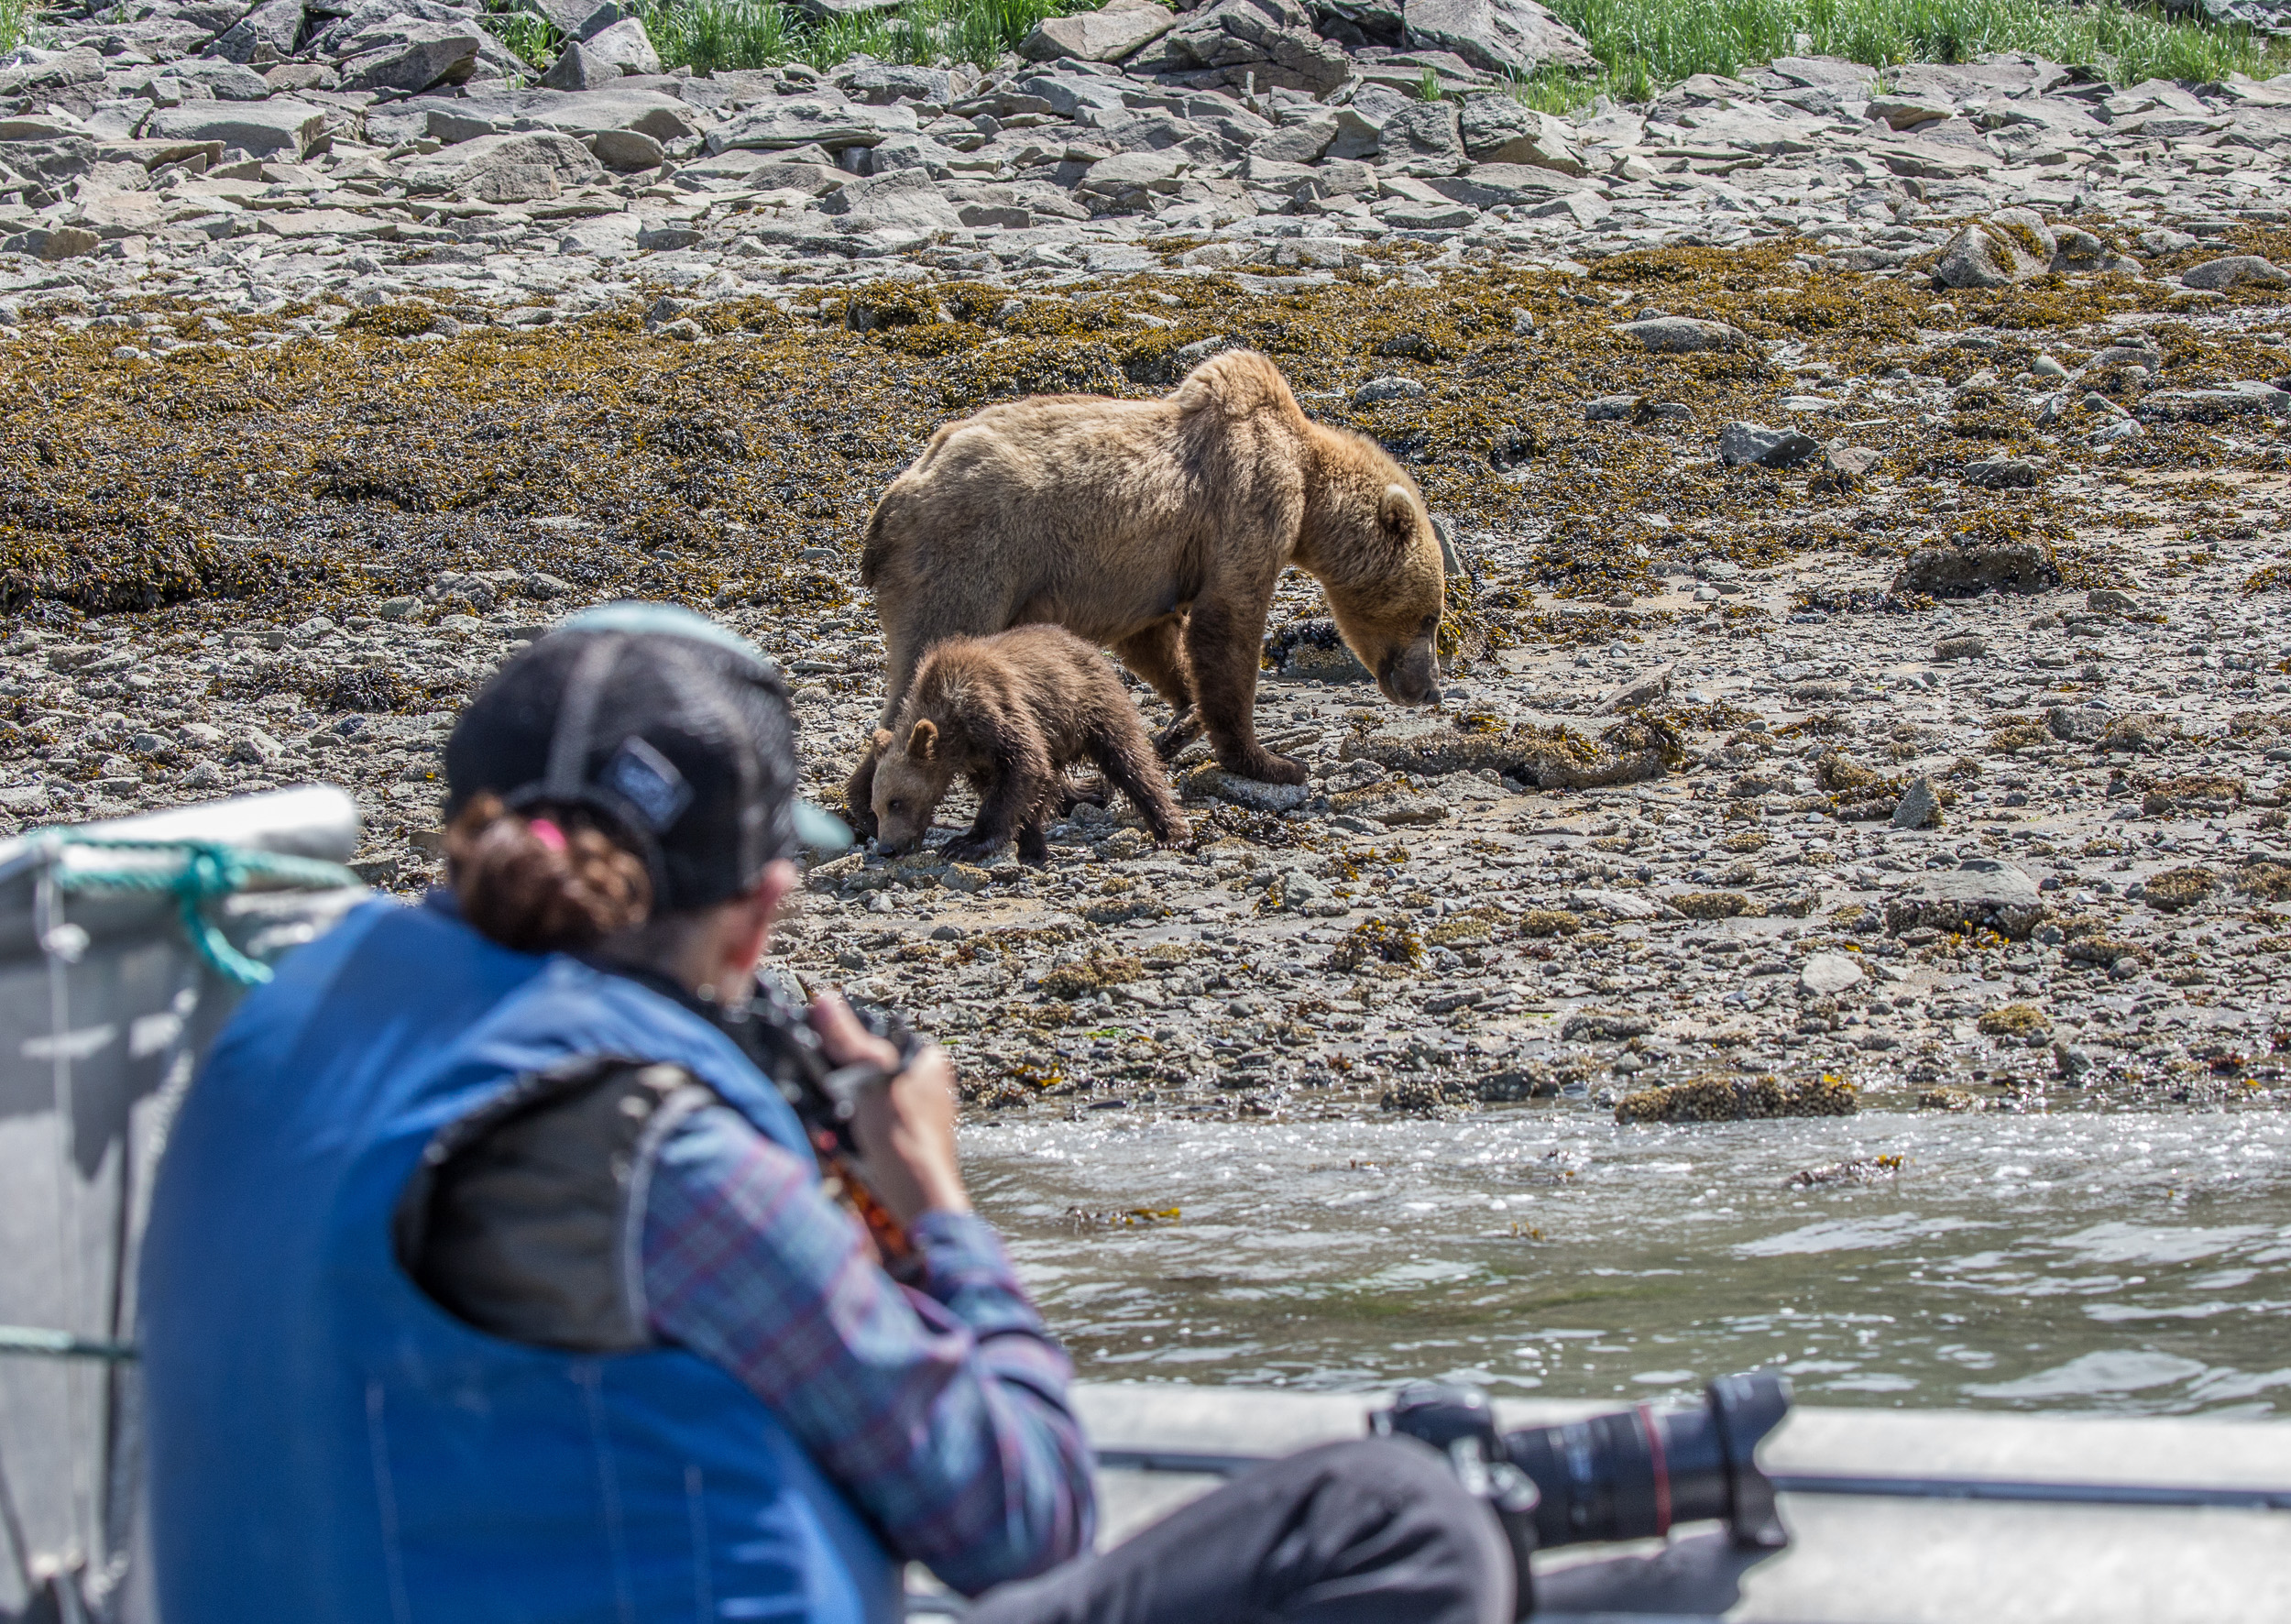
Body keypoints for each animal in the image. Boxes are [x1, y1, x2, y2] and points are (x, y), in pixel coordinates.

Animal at [845, 348, 1445, 838]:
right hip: (970, 561)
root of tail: (893, 501)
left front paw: (1183, 722)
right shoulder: (1249, 502)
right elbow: (1229, 622)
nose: (1431, 690)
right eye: (1432, 617)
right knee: (931, 666)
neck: (1307, 483)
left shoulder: (1142, 575)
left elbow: (1155, 639)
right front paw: (1272, 761)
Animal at [869, 625, 1190, 866]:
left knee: (1129, 761)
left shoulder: (993, 711)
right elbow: (1020, 788)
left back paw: (1169, 832)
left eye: (895, 802)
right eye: (876, 808)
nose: (886, 849)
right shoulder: (978, 758)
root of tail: (1084, 643)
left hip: (1089, 704)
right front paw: (1030, 845)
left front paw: (966, 843)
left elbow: (1023, 768)